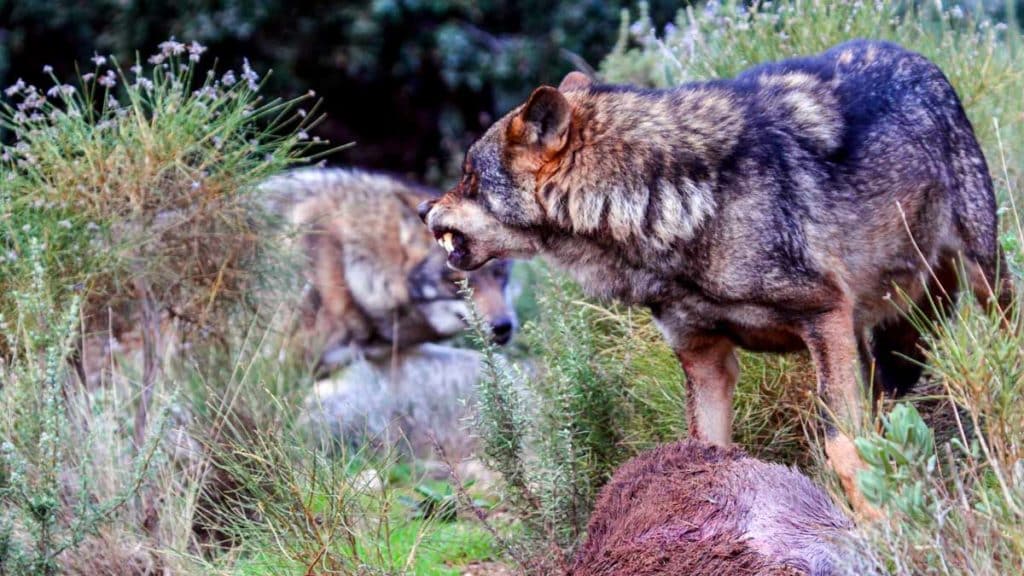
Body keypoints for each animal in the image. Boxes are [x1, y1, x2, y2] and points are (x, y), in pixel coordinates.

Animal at [421, 40, 1015, 518]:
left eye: (469, 179)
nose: (425, 207)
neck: (667, 204)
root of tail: (916, 57)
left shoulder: (825, 317)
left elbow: (842, 446)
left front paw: (882, 526)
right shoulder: (706, 359)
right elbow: (706, 452)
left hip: (979, 282)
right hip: (878, 339)